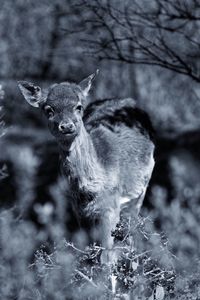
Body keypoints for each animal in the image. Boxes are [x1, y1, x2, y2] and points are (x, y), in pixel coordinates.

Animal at [18, 71, 155, 264]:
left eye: (78, 106)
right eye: (49, 110)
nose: (67, 126)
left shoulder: (111, 206)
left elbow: (106, 258)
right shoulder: (79, 210)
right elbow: (89, 253)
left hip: (141, 192)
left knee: (132, 234)